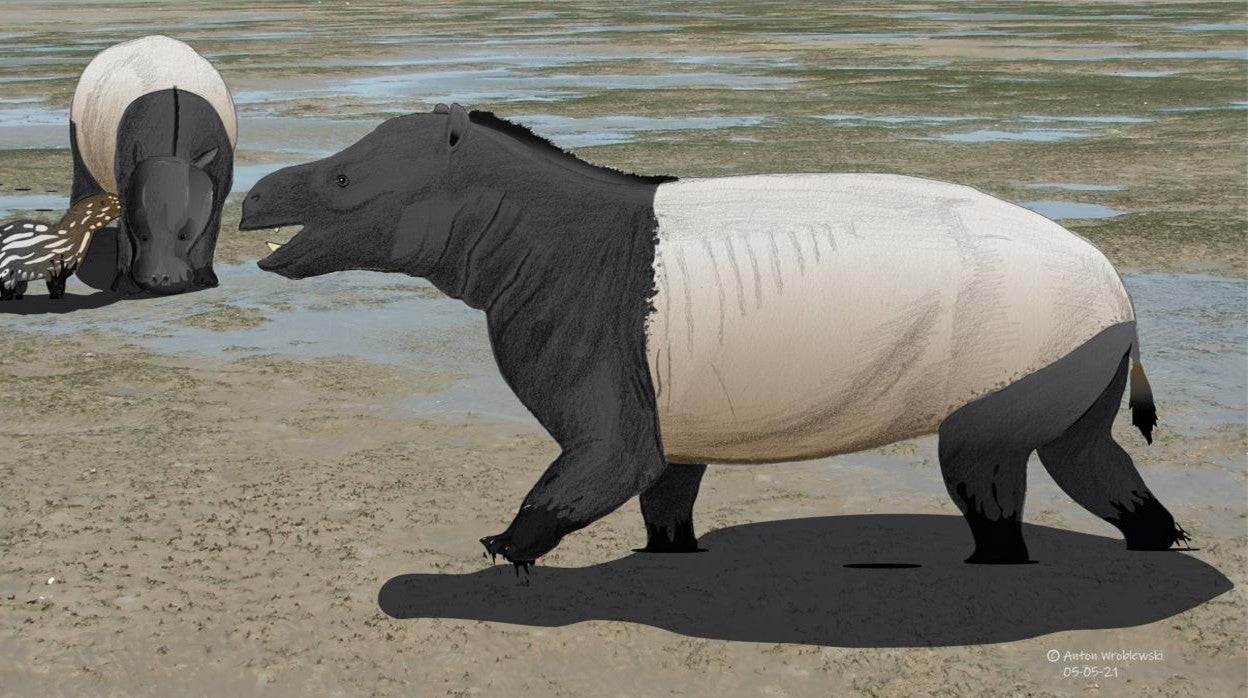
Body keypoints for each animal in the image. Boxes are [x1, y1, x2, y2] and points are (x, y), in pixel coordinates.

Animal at [69, 35, 235, 295]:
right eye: (143, 235)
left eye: (184, 235)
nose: (159, 280)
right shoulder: (127, 175)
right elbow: (124, 228)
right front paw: (124, 287)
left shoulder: (219, 178)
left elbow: (211, 225)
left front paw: (206, 278)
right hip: (78, 134)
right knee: (83, 188)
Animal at [240, 104, 1189, 569]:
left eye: (343, 179)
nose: (254, 196)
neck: (525, 233)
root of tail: (1120, 294)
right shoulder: (669, 391)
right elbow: (661, 481)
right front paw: (669, 553)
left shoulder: (598, 335)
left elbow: (606, 459)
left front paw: (504, 548)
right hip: (1067, 360)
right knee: (1087, 457)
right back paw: (1159, 540)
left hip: (1014, 347)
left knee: (986, 466)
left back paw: (993, 563)